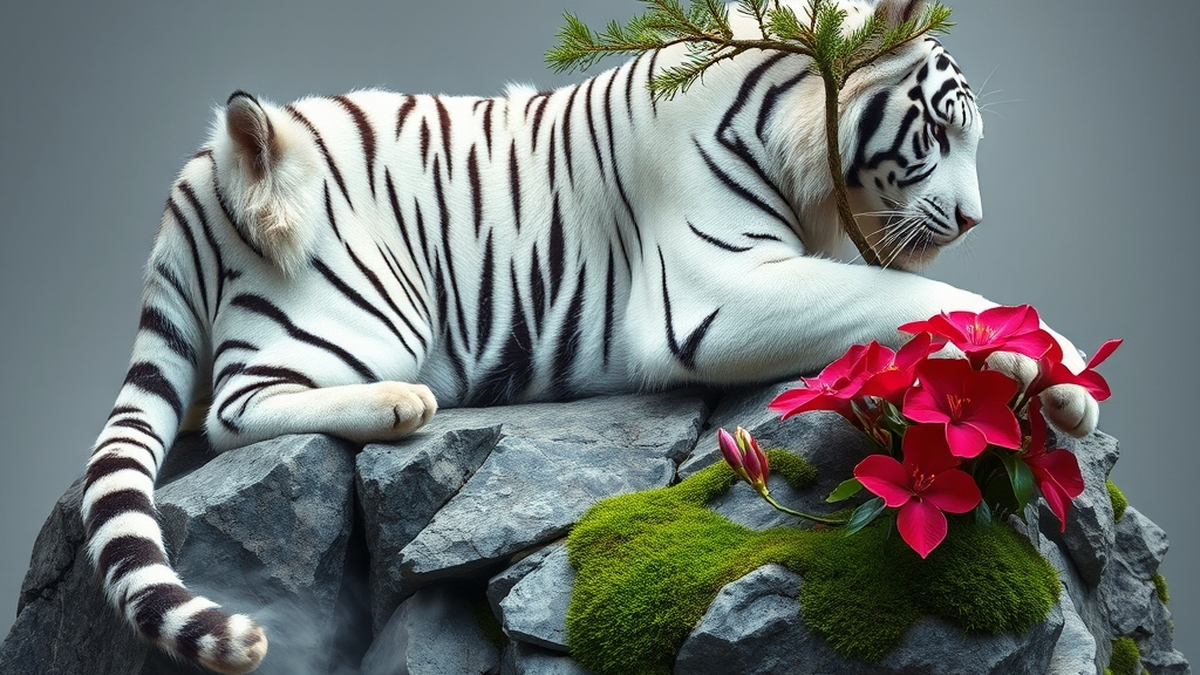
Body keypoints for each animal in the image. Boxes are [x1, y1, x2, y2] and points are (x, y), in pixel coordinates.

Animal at [78, 0, 1100, 672]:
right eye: (940, 130)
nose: (972, 218)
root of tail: (212, 165)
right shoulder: (711, 292)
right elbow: (910, 296)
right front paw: (1061, 374)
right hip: (360, 308)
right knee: (234, 409)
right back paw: (405, 402)